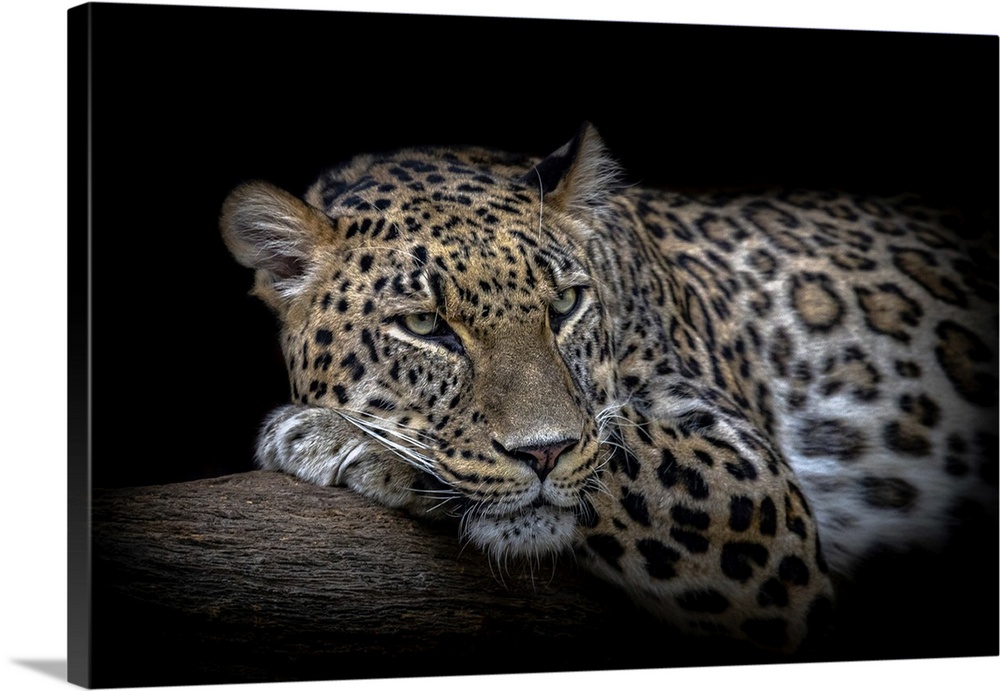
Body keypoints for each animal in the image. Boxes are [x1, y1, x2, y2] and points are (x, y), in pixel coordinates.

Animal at [220, 123, 997, 656]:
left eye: (565, 304)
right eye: (423, 325)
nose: (543, 453)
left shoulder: (752, 487)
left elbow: (617, 451)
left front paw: (339, 438)